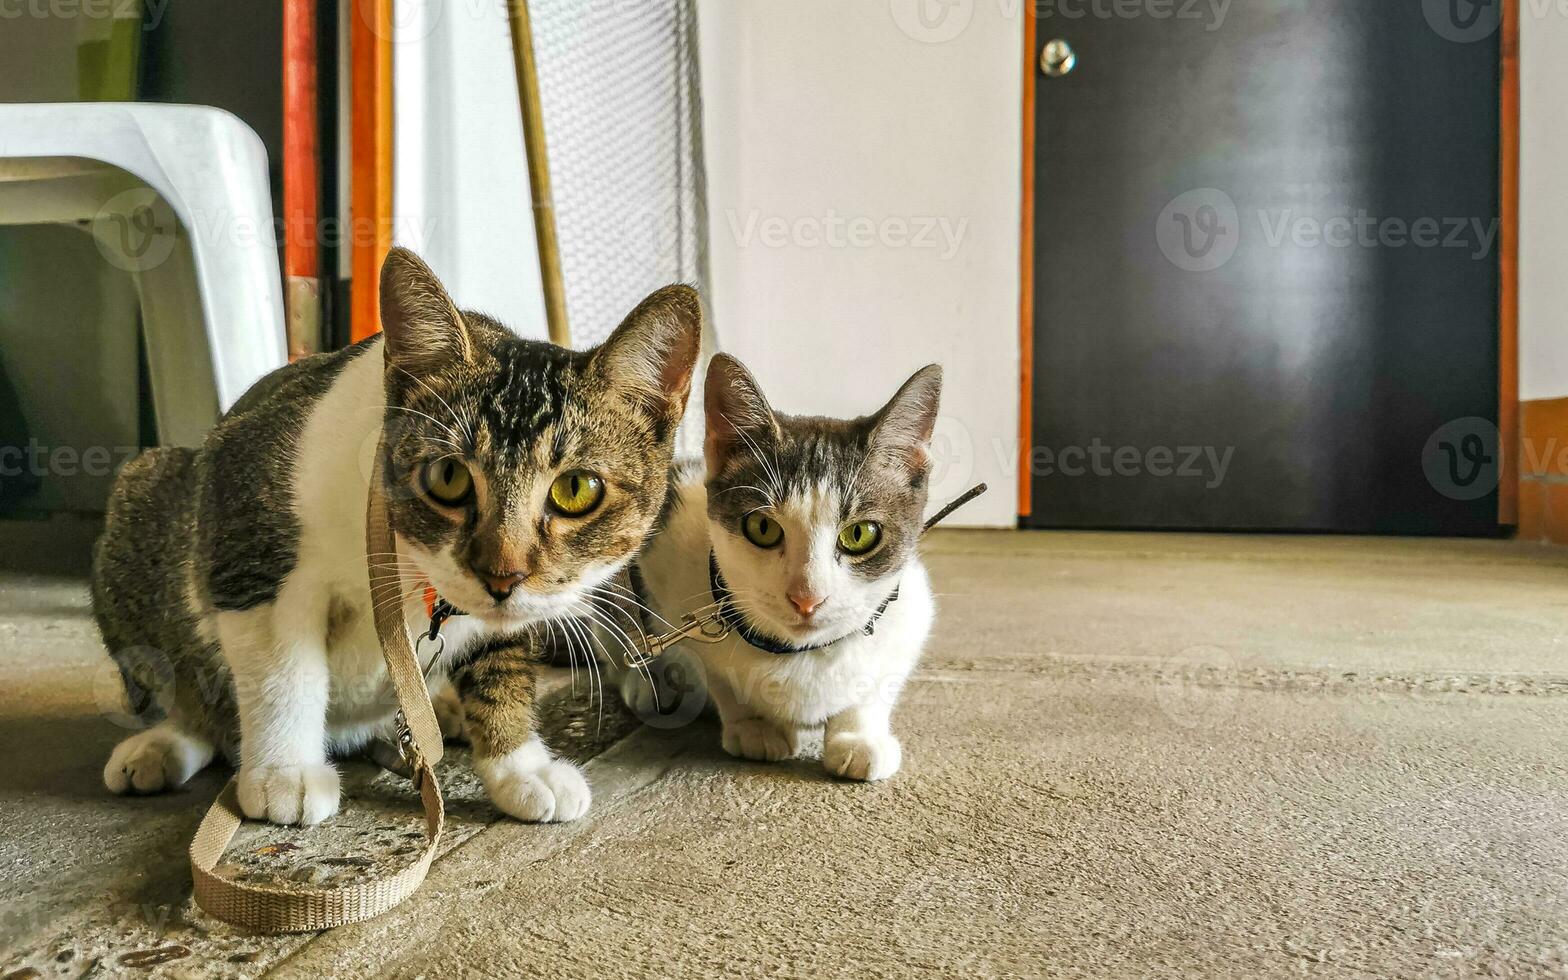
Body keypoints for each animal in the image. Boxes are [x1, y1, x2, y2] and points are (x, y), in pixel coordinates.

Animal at [88, 247, 696, 821]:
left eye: (576, 488)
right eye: (448, 476)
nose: (503, 575)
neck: (406, 563)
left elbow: (502, 662)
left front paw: (521, 766)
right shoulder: (246, 528)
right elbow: (283, 661)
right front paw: (287, 772)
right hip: (145, 492)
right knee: (186, 685)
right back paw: (163, 746)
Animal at [611, 352, 934, 780]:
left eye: (860, 534)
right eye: (763, 528)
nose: (807, 598)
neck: (799, 652)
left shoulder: (911, 610)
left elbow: (879, 678)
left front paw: (858, 735)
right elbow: (711, 669)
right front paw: (754, 724)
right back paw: (646, 686)